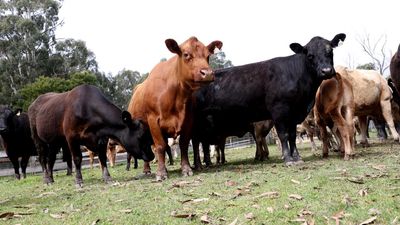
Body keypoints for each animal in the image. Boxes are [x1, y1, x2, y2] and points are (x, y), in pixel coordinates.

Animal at [27, 84, 155, 186]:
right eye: (141, 136)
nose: (152, 155)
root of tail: (35, 102)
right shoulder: (71, 137)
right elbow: (77, 158)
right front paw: (79, 180)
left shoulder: (102, 138)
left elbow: (103, 158)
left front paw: (107, 177)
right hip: (37, 138)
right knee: (42, 158)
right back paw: (46, 179)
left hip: (54, 141)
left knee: (51, 159)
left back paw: (51, 178)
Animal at [128, 37, 222, 181]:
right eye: (186, 54)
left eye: (208, 55)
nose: (207, 73)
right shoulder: (153, 120)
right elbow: (160, 146)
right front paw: (161, 173)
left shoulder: (188, 120)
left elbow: (183, 144)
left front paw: (186, 169)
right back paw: (147, 169)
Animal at [192, 34, 346, 166]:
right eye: (310, 55)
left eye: (330, 51)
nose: (326, 71)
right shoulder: (279, 110)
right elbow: (283, 135)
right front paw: (288, 159)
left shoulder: (293, 114)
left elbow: (292, 136)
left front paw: (297, 157)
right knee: (195, 143)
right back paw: (198, 165)